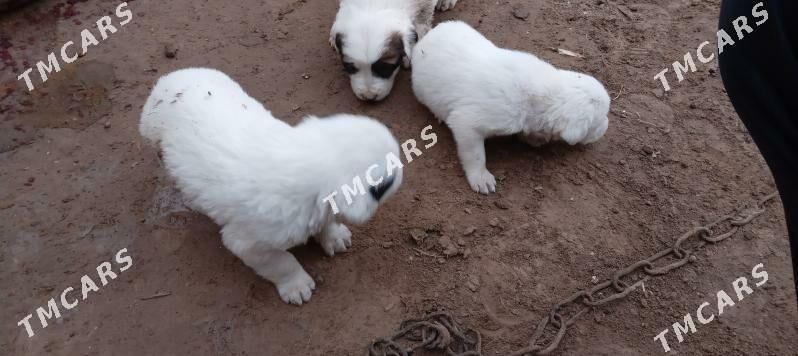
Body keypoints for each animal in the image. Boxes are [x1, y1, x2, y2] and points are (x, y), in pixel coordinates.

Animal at [140, 68, 404, 304]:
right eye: (387, 181)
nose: (403, 168)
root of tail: (164, 84)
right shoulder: (249, 244)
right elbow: (282, 263)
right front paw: (296, 285)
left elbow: (326, 222)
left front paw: (333, 236)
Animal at [412, 21, 612, 195]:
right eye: (600, 119)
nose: (607, 126)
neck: (544, 97)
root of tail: (424, 39)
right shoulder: (467, 124)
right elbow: (476, 155)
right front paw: (481, 178)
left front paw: (535, 138)